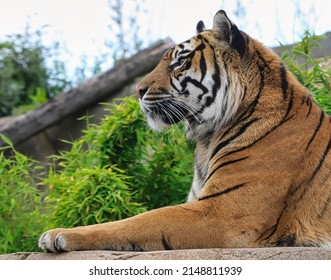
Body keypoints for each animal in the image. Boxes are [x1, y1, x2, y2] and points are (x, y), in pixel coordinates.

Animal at [38, 10, 331, 252]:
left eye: (179, 62)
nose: (138, 90)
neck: (208, 138)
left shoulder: (224, 212)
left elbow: (142, 220)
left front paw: (58, 234)